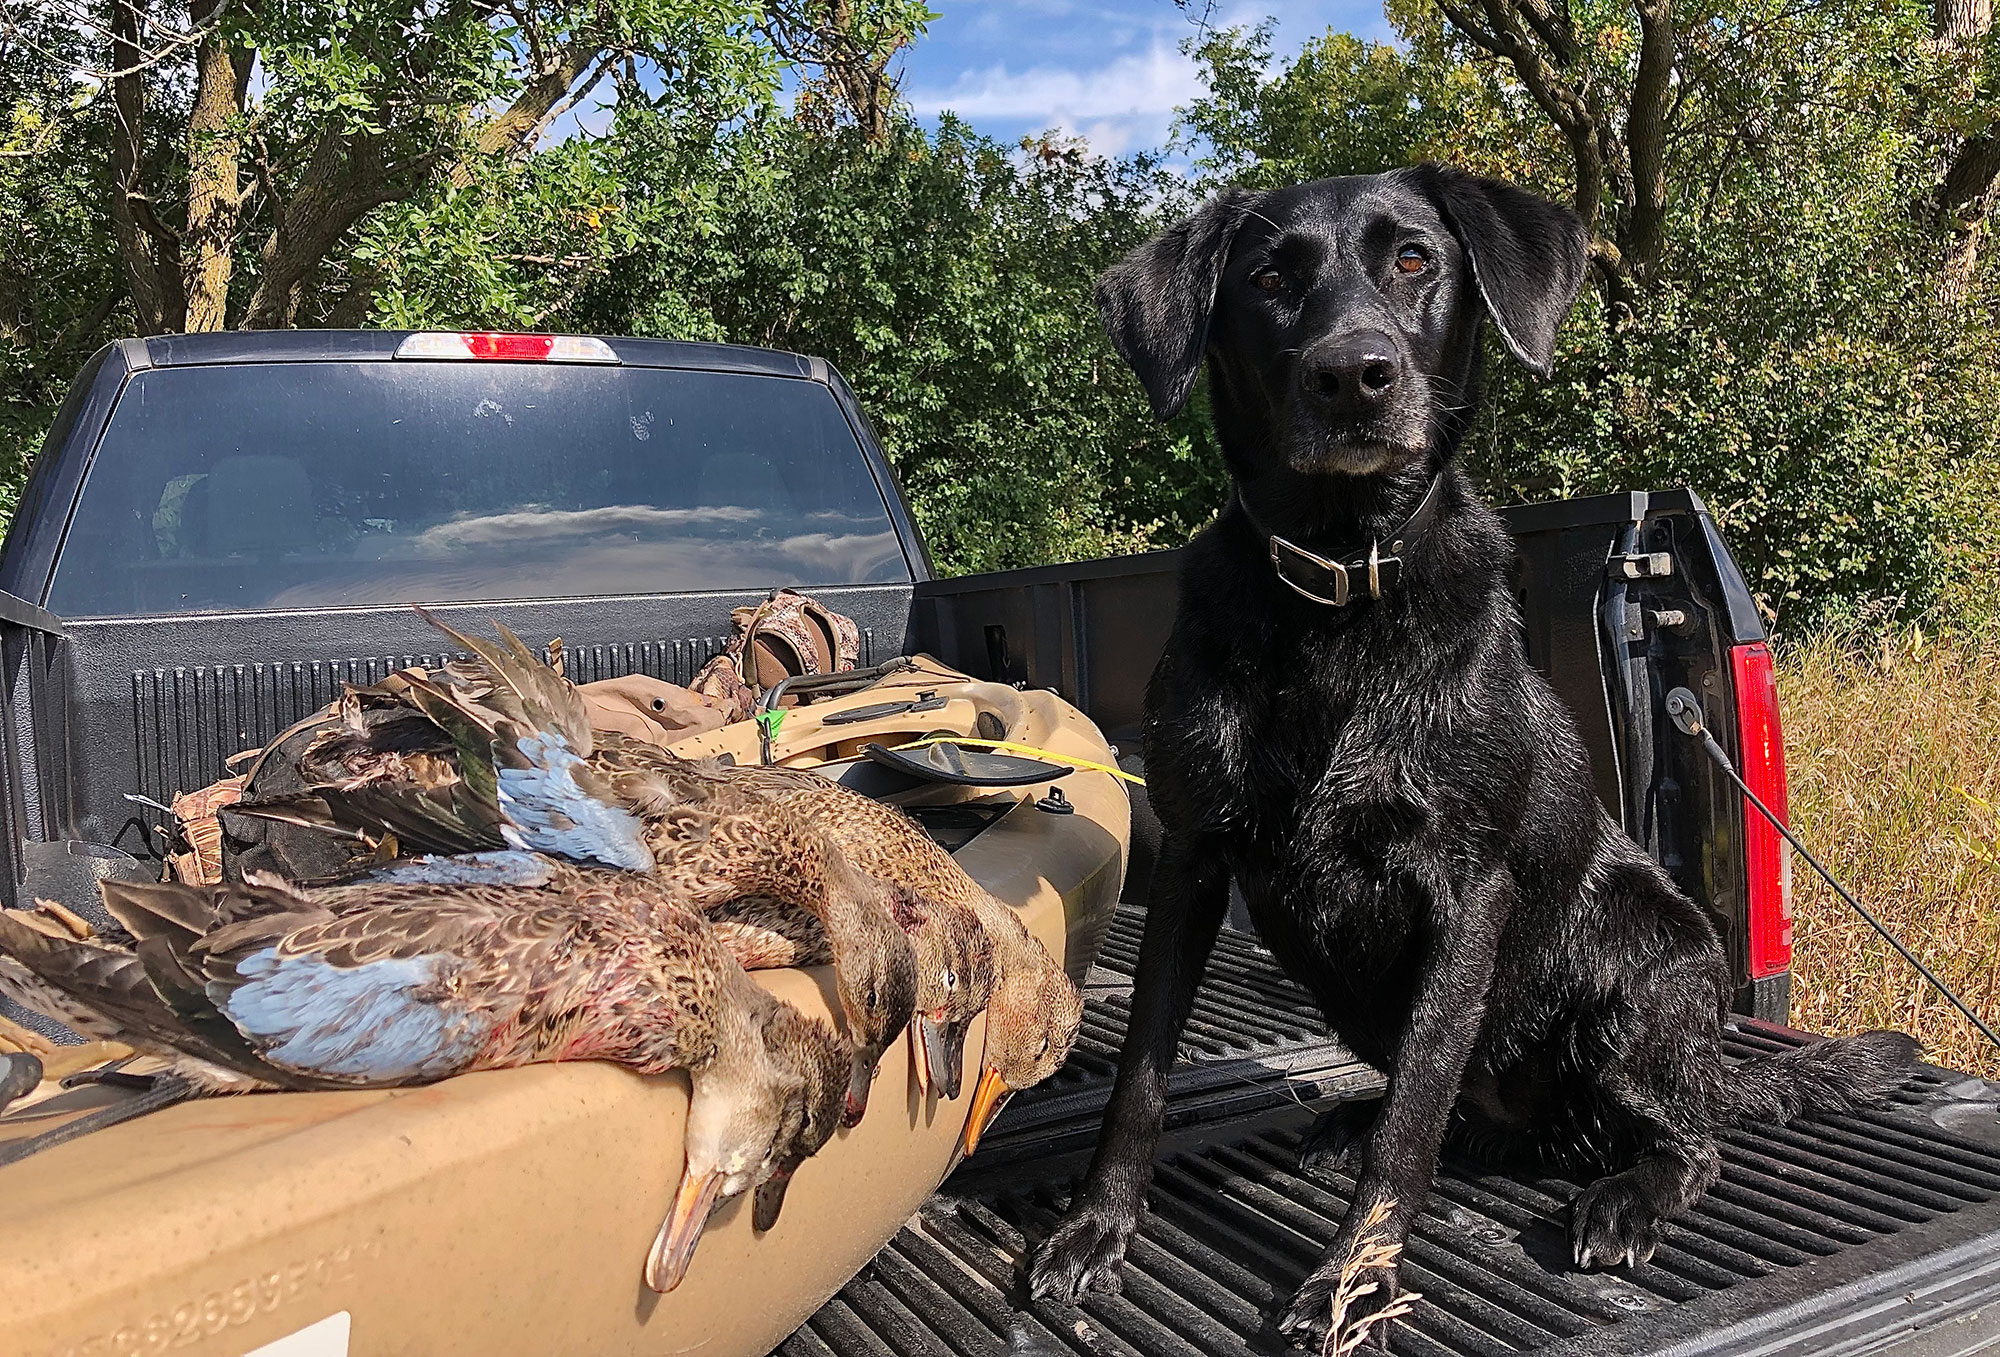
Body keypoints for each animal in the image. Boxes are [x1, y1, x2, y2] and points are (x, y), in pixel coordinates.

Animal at [1024, 165, 1912, 1344]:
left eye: (1413, 259)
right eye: (1267, 279)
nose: (1353, 376)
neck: (1342, 597)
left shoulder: (1464, 891)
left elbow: (1413, 1121)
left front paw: (1351, 1283)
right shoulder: (1194, 864)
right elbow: (1141, 1077)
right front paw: (1096, 1228)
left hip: (1645, 967)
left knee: (1681, 1138)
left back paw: (1625, 1195)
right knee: (1466, 1111)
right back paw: (1360, 1121)